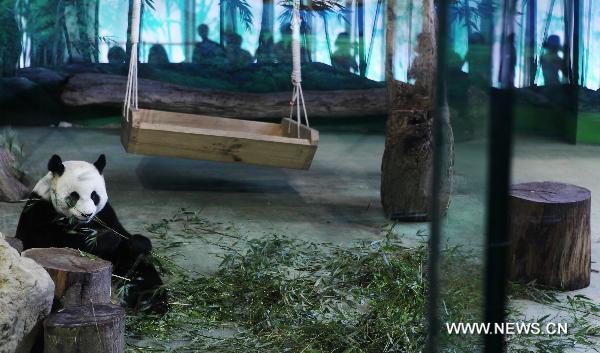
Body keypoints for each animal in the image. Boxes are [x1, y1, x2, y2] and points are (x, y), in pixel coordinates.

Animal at [17, 153, 166, 310]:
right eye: (74, 196)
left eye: (94, 196)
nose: (86, 214)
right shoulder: (39, 212)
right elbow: (54, 242)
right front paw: (107, 239)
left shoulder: (105, 215)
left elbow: (124, 238)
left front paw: (139, 242)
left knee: (142, 273)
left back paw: (153, 302)